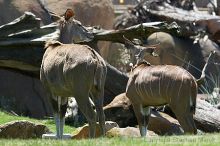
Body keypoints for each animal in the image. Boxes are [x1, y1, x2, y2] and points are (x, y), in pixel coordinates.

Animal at [41, 8, 107, 139]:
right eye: (79, 24)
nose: (91, 34)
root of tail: (95, 59)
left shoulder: (50, 91)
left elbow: (57, 115)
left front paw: (58, 137)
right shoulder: (64, 94)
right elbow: (62, 115)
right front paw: (60, 137)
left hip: (80, 92)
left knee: (92, 115)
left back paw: (92, 138)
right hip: (98, 90)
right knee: (101, 115)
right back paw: (103, 138)